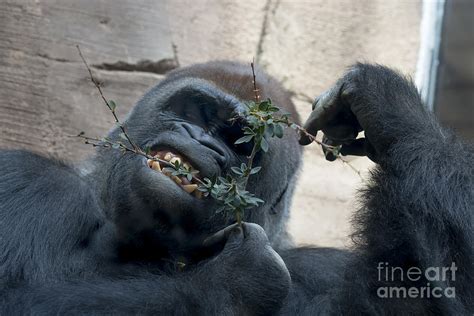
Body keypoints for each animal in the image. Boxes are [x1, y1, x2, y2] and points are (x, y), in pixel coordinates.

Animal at [0, 60, 472, 314]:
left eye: (241, 142)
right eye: (197, 112)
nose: (206, 143)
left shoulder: (320, 269)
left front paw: (392, 113)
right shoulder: (26, 181)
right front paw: (230, 282)